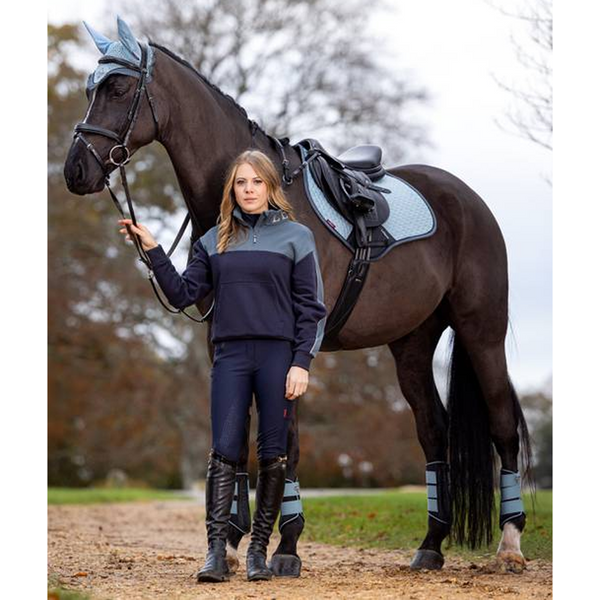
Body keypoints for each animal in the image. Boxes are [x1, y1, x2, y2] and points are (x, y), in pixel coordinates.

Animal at [64, 22, 536, 576]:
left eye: (117, 88)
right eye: (89, 89)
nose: (75, 171)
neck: (253, 214)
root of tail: (468, 200)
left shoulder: (292, 349)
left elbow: (285, 441)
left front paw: (285, 547)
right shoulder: (224, 341)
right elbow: (238, 436)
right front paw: (232, 542)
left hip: (482, 331)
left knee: (503, 424)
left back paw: (510, 544)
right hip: (413, 345)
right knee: (433, 431)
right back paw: (431, 544)